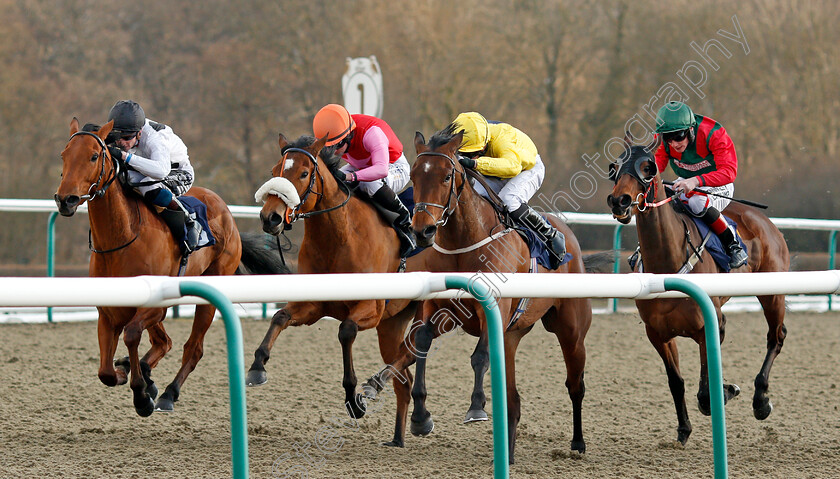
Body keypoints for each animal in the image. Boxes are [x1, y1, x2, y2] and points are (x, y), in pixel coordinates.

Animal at [56, 119, 286, 416]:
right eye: (64, 155)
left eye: (94, 156)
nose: (66, 200)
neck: (120, 238)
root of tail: (226, 213)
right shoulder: (108, 311)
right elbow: (105, 371)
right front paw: (129, 375)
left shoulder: (156, 306)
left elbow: (132, 334)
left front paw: (141, 395)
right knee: (163, 342)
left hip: (209, 292)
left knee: (193, 348)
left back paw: (167, 393)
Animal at [244, 133, 434, 440]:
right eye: (274, 171)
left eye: (304, 173)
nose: (270, 217)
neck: (339, 236)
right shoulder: (312, 305)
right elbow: (280, 317)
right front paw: (257, 367)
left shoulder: (370, 308)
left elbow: (345, 331)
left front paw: (354, 400)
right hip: (391, 324)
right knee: (402, 377)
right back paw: (398, 438)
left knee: (418, 350)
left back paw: (418, 415)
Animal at [364, 125, 592, 464]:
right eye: (415, 175)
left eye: (447, 176)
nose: (422, 231)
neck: (465, 242)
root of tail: (570, 238)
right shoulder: (439, 309)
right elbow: (419, 344)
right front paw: (419, 416)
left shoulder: (492, 306)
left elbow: (480, 355)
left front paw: (475, 407)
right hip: (512, 335)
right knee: (513, 399)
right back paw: (508, 455)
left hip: (571, 330)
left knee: (575, 384)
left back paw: (577, 443)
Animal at [604, 136, 788, 446]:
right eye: (614, 167)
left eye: (648, 168)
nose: (620, 201)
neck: (667, 263)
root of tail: (765, 222)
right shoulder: (658, 334)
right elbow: (676, 382)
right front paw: (683, 428)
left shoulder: (709, 326)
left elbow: (705, 390)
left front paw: (726, 390)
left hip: (772, 293)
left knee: (776, 337)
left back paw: (761, 400)